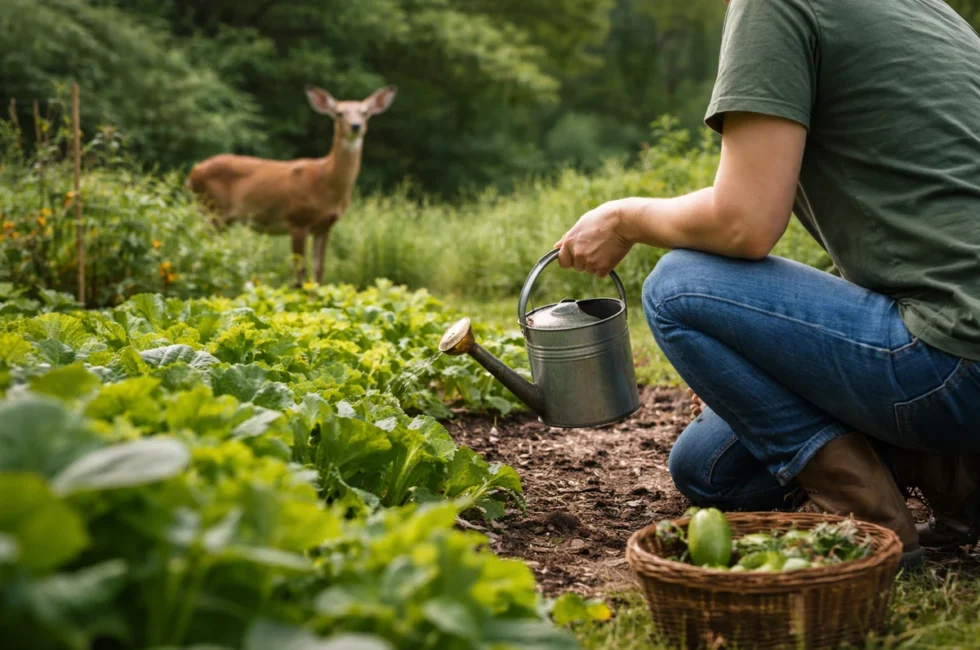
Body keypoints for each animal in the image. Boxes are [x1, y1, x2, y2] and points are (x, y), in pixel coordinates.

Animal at [185, 84, 398, 286]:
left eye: (365, 112)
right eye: (339, 113)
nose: (355, 126)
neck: (328, 183)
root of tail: (192, 173)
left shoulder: (325, 225)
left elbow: (319, 271)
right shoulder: (297, 219)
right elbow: (300, 273)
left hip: (222, 217)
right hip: (211, 209)